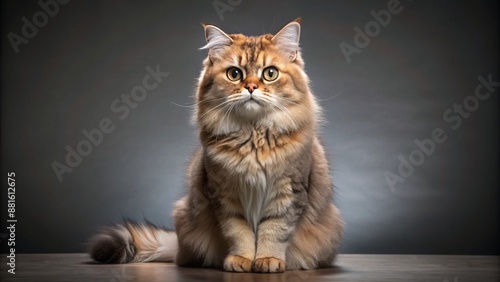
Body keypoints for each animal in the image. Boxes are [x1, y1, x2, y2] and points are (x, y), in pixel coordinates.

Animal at [89, 18, 344, 274]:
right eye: (235, 74)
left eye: (270, 73)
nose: (251, 87)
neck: (253, 137)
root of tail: (178, 247)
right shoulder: (224, 194)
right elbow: (238, 232)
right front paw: (241, 259)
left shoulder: (289, 192)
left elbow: (274, 231)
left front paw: (267, 260)